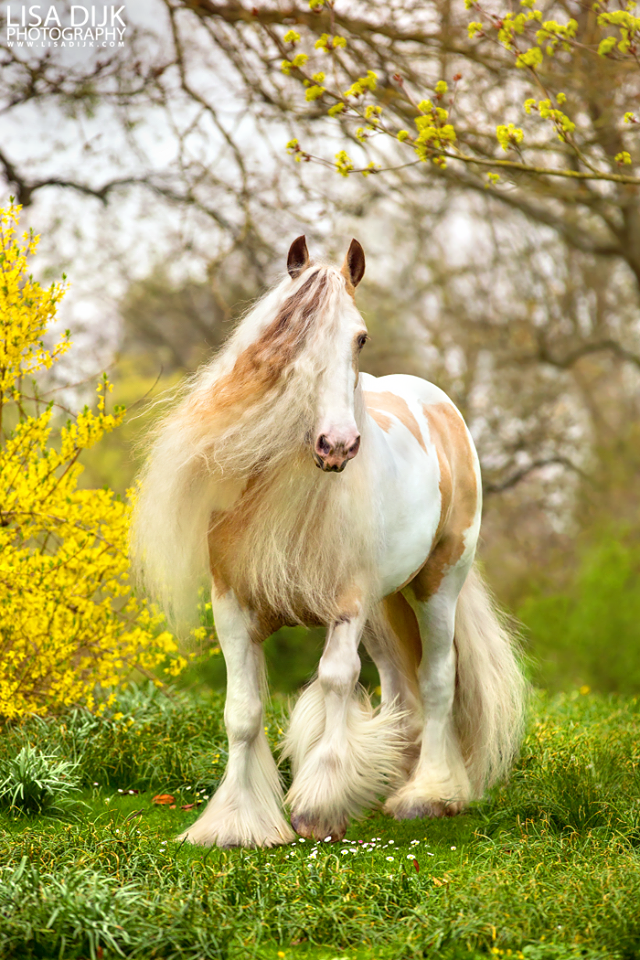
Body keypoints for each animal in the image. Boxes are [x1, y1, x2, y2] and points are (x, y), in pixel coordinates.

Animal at [132, 238, 528, 848]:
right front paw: (236, 823)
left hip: (436, 586)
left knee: (437, 679)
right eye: (289, 331)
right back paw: (394, 776)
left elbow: (336, 682)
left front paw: (318, 807)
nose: (336, 445)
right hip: (387, 610)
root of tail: (438, 405)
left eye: (359, 338)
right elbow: (242, 712)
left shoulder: (347, 607)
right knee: (400, 688)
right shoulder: (232, 606)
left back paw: (427, 795)